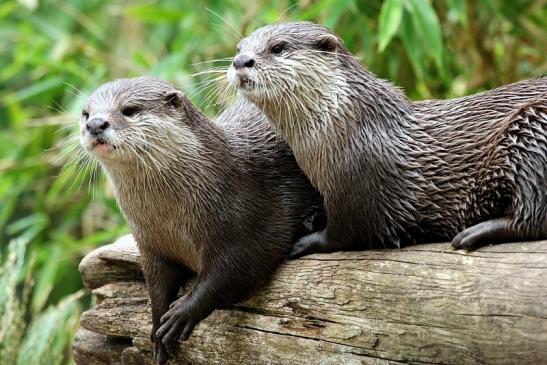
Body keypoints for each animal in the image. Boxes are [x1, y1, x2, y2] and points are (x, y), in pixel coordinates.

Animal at [79, 76, 324, 362]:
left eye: (129, 110)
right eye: (86, 113)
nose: (95, 124)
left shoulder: (249, 219)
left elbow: (238, 268)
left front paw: (181, 313)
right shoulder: (151, 244)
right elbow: (156, 284)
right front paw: (156, 324)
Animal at [227, 21, 547, 258]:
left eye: (278, 47)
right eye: (240, 48)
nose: (241, 61)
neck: (351, 129)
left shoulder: (357, 188)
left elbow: (344, 234)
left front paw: (306, 241)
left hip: (531, 131)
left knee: (532, 217)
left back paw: (473, 234)